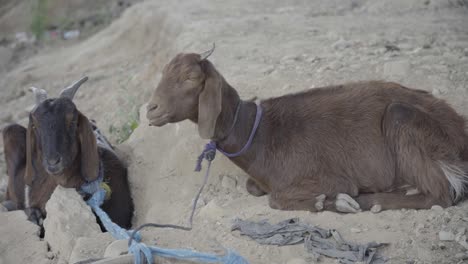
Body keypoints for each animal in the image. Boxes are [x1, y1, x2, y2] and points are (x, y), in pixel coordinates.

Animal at [146, 48, 468, 213]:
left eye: (191, 77)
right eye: (162, 73)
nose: (151, 109)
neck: (260, 134)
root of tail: (459, 128)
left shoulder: (329, 177)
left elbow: (277, 199)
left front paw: (328, 201)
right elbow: (254, 188)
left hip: (405, 121)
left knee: (441, 194)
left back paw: (372, 201)